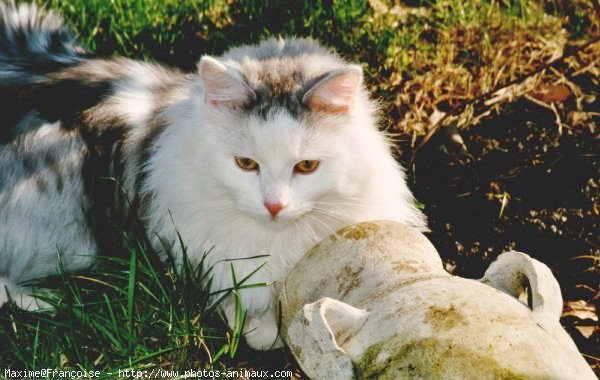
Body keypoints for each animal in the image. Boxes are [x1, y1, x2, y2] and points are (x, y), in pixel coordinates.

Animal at [0, 0, 426, 350]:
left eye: (306, 167)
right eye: (246, 164)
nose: (273, 205)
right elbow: (251, 321)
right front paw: (262, 332)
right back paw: (47, 302)